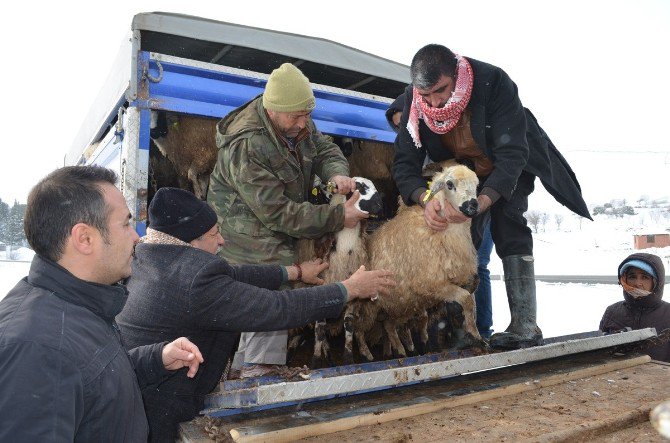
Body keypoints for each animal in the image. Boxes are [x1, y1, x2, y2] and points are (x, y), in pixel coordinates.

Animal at [368, 161, 488, 360]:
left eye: (477, 185)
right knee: (386, 327)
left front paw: (476, 336)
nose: (472, 205)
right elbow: (466, 300)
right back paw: (398, 351)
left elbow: (472, 301)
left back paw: (406, 348)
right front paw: (474, 336)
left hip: (404, 304)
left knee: (393, 325)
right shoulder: (431, 283)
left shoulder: (461, 276)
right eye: (449, 184)